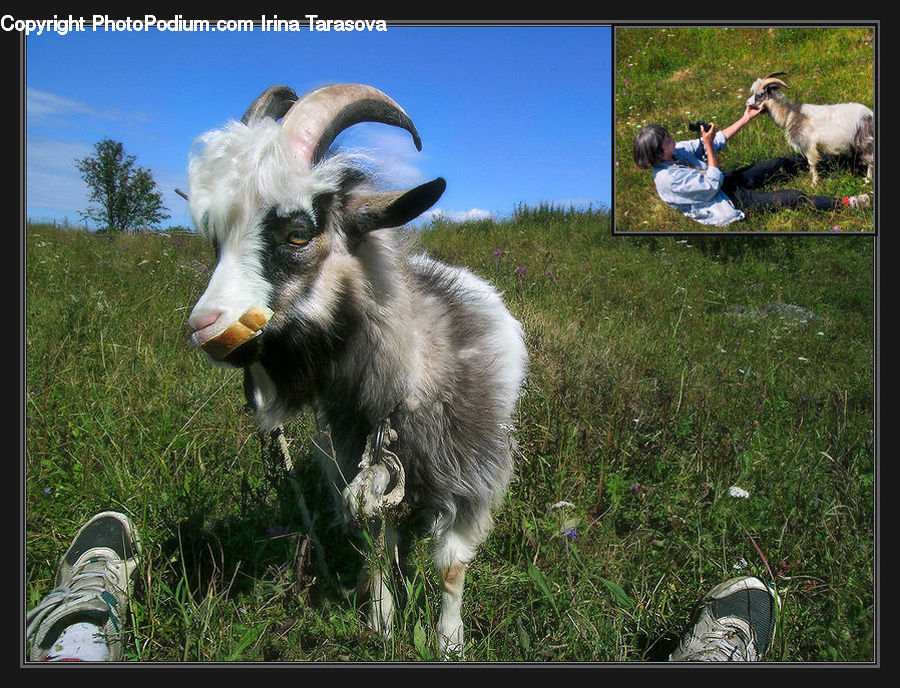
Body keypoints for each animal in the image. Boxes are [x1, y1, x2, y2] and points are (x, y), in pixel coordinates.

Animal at [185, 83, 528, 657]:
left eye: (298, 233)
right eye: (216, 240)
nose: (206, 328)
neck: (406, 386)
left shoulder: (472, 481)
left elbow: (452, 569)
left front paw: (449, 642)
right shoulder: (354, 466)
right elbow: (375, 553)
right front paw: (382, 627)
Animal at [746, 72, 874, 185]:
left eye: (760, 94)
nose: (747, 103)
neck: (789, 114)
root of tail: (870, 114)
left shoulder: (808, 144)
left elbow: (812, 164)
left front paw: (814, 183)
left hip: (865, 141)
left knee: (870, 160)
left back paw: (868, 180)